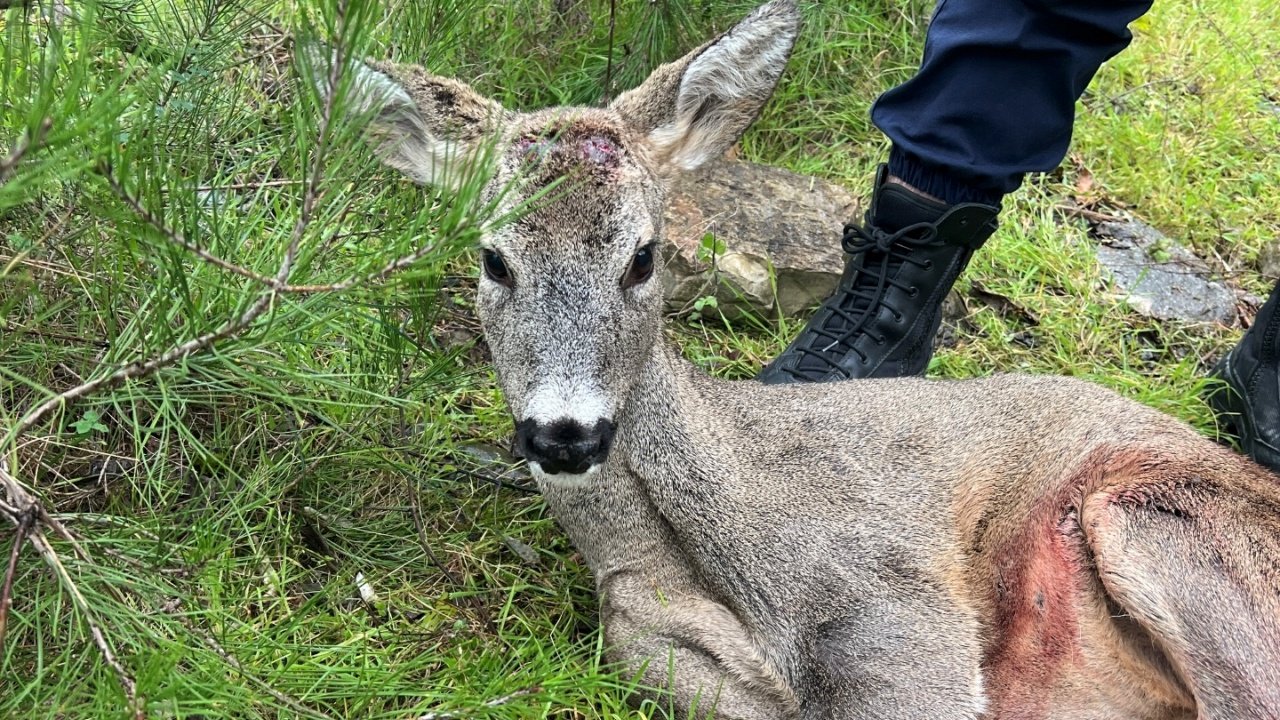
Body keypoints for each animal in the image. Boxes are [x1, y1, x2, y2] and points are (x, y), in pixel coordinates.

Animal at [309, 2, 1280, 712]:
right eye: (493, 258)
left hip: (1162, 521)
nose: (565, 433)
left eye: (643, 257)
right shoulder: (651, 636)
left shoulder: (888, 598)